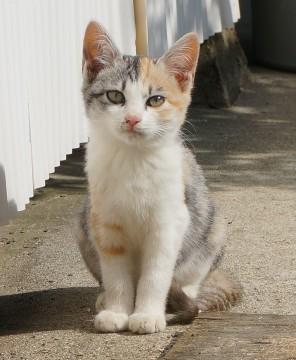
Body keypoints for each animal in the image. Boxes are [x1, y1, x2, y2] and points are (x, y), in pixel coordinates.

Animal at [78, 20, 240, 334]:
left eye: (156, 100)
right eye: (115, 96)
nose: (132, 119)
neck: (133, 159)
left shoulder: (168, 222)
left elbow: (155, 273)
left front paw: (147, 314)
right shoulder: (105, 221)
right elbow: (116, 273)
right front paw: (117, 311)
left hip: (212, 225)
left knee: (195, 274)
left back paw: (184, 293)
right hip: (83, 219)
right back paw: (104, 297)